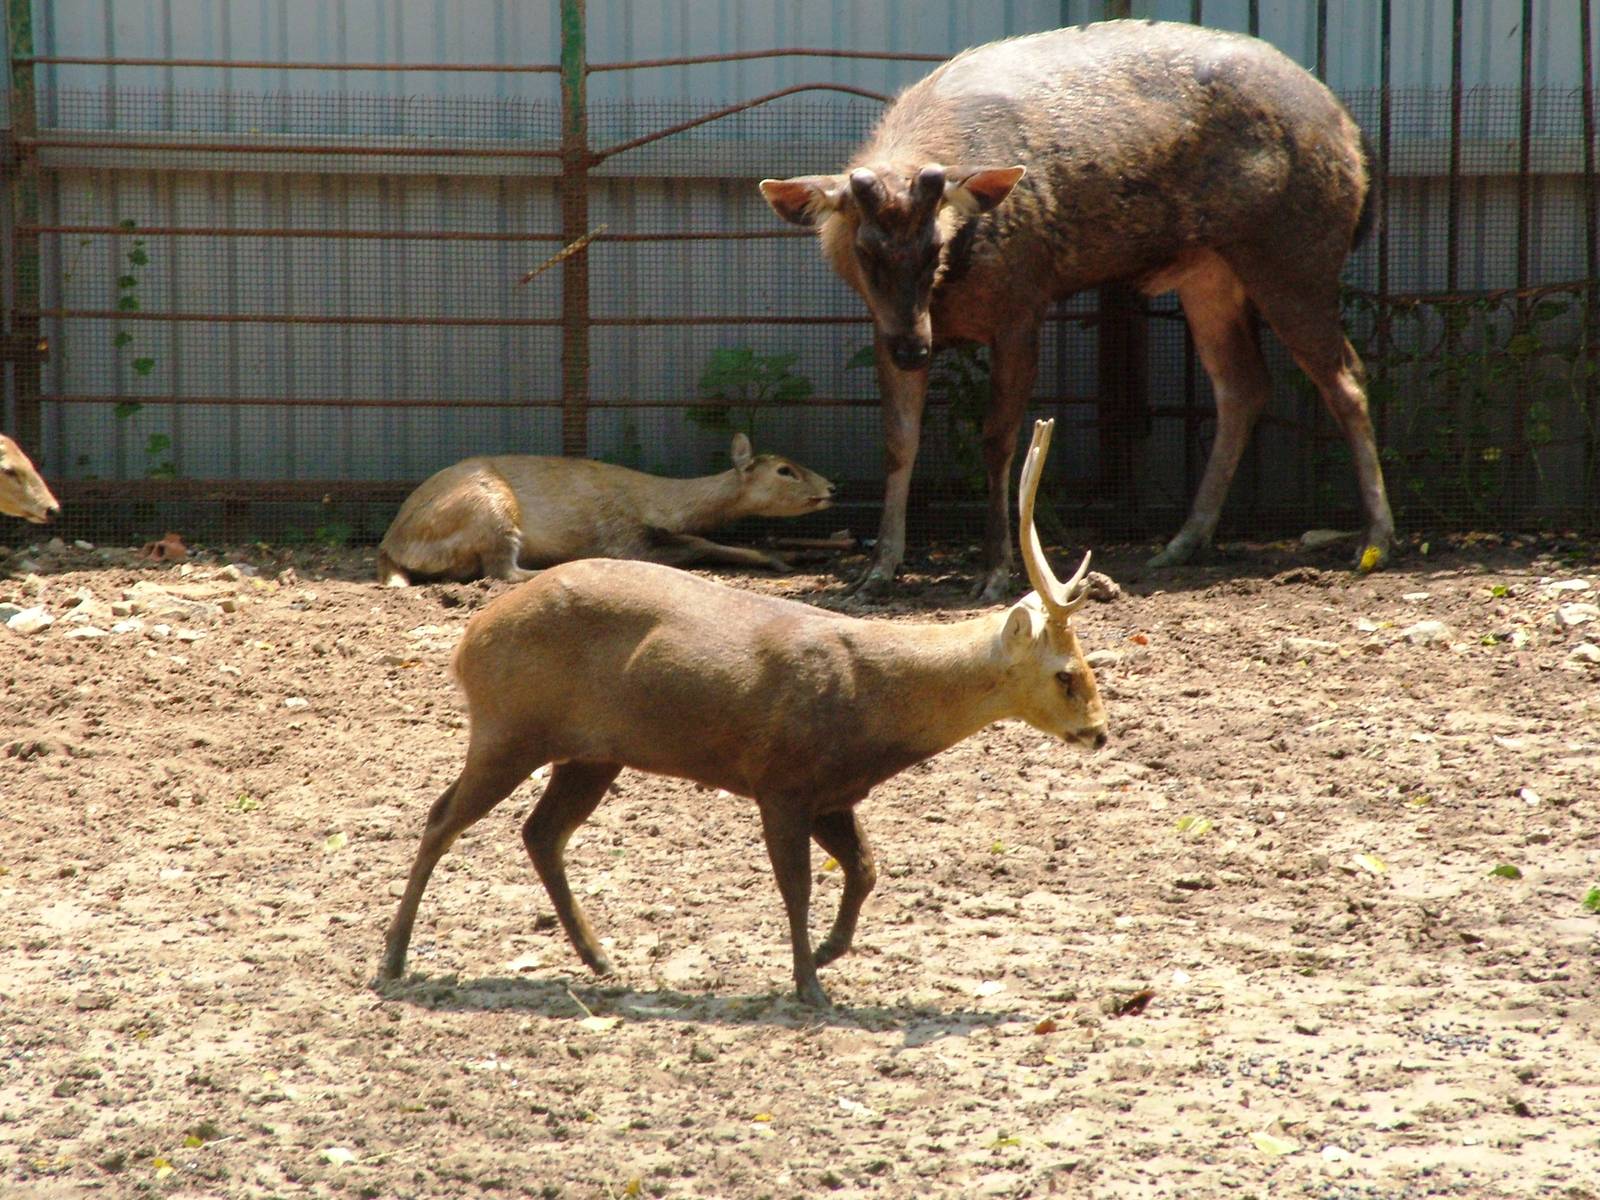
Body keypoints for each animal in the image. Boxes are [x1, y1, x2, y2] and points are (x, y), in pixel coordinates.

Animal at [376, 433, 834, 586]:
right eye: (785, 470)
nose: (832, 487)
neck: (658, 505)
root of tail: (390, 546)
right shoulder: (621, 538)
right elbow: (695, 546)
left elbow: (702, 540)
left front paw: (787, 556)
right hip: (491, 510)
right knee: (502, 570)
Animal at [761, 19, 1395, 599]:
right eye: (864, 251)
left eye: (935, 244)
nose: (916, 349)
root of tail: (1353, 135)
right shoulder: (883, 323)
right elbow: (898, 442)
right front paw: (875, 572)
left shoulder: (1023, 304)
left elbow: (998, 439)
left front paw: (994, 573)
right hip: (1208, 270)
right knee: (1244, 384)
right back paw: (1184, 541)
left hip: (1295, 254)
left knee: (1346, 378)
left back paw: (1377, 540)